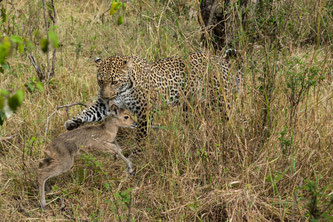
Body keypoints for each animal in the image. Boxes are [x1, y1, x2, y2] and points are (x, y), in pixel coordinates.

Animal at [65, 50, 241, 142]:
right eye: (100, 81)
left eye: (114, 81)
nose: (107, 97)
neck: (123, 90)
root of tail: (220, 59)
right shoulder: (104, 104)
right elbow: (89, 112)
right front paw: (73, 122)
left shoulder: (145, 110)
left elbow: (142, 134)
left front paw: (139, 153)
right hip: (188, 106)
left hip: (220, 99)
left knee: (228, 116)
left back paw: (227, 134)